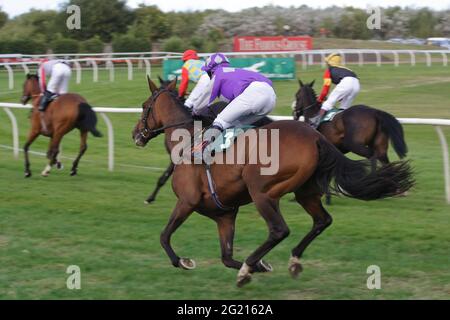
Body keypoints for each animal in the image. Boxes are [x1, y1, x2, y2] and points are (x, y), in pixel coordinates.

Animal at [132, 77, 414, 288]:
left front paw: (184, 261)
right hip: (304, 192)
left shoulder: (187, 202)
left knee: (279, 230)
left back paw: (249, 268)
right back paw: (292, 260)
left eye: (145, 106)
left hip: (262, 192)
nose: (136, 134)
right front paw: (260, 266)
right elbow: (226, 257)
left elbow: (164, 236)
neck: (187, 140)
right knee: (322, 220)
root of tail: (315, 137)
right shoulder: (225, 215)